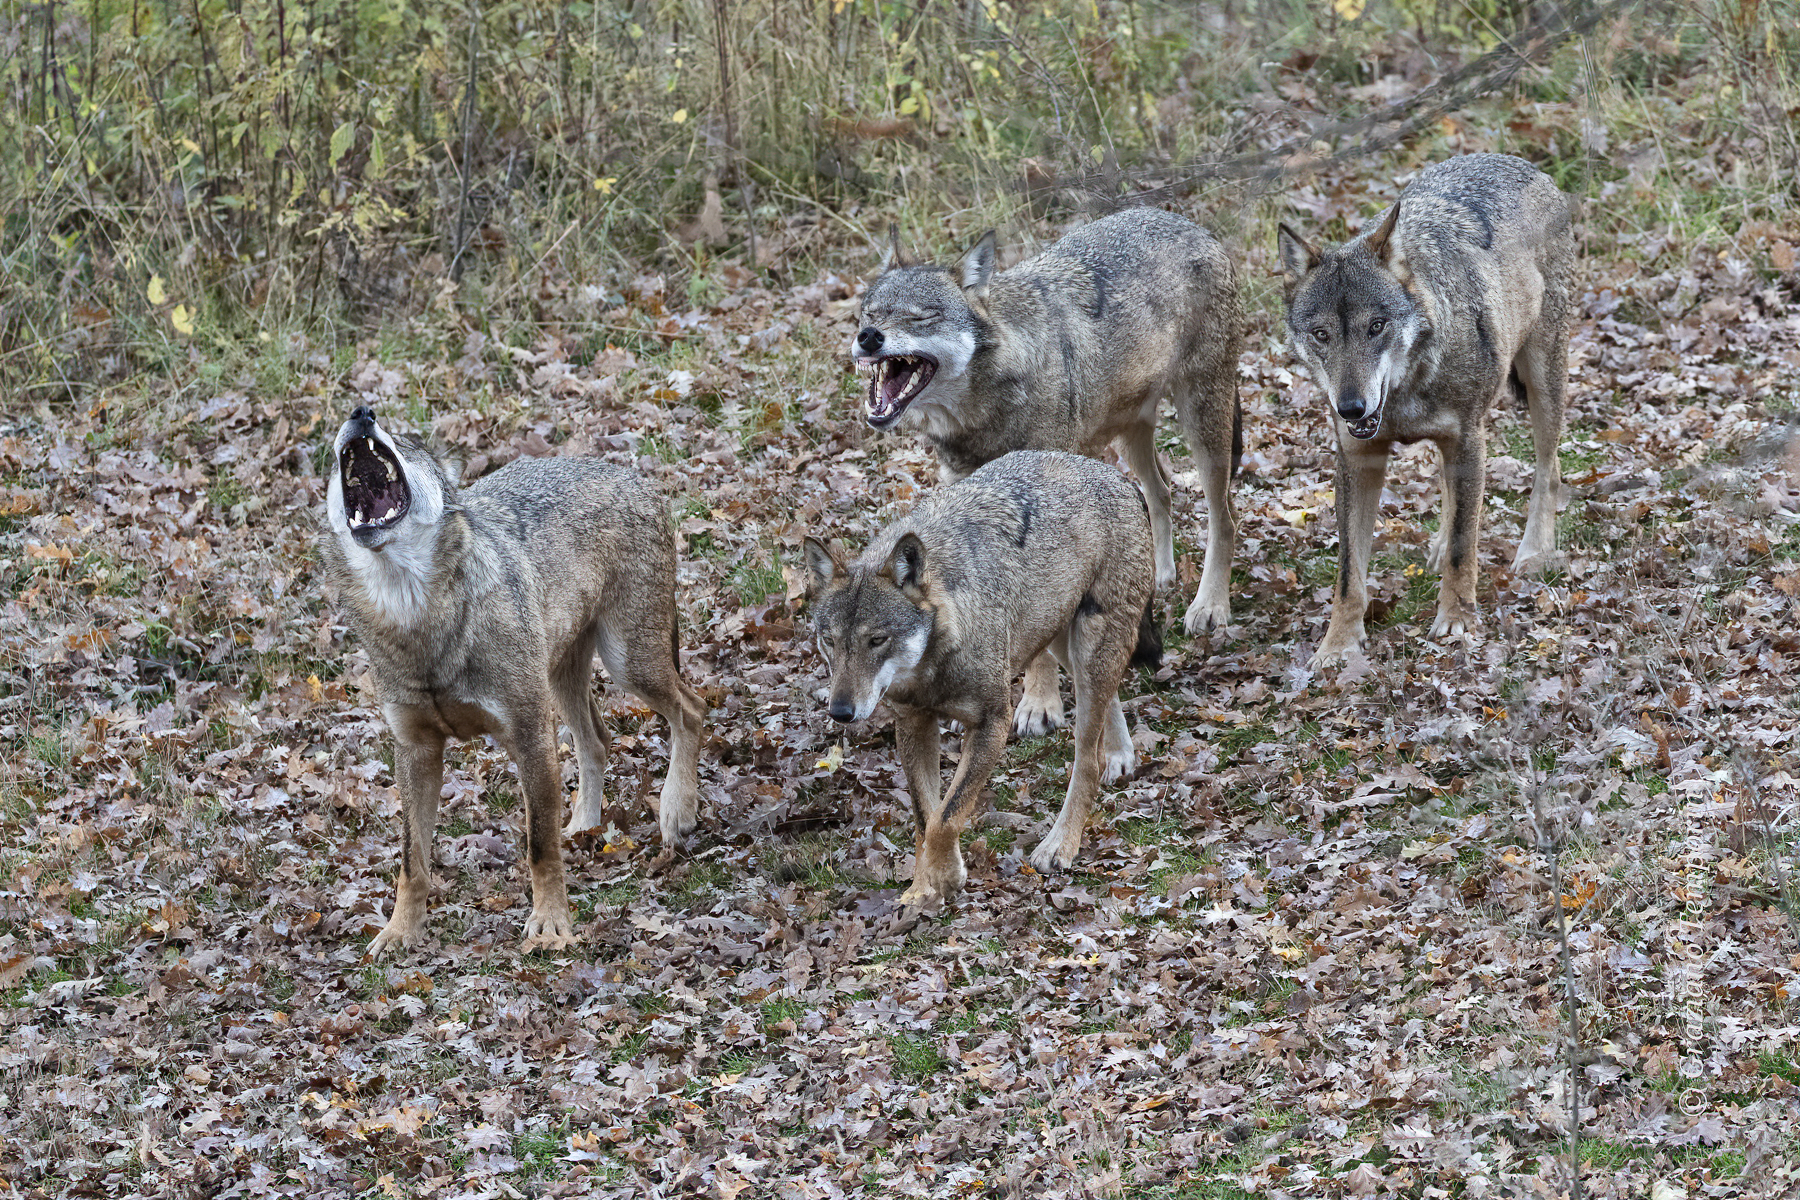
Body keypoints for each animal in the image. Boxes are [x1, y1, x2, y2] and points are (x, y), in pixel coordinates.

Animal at [320, 407, 705, 957]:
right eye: (330, 460)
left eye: (409, 444)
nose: (361, 414)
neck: (417, 616)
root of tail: (638, 478)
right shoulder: (415, 751)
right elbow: (412, 862)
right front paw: (399, 932)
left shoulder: (529, 735)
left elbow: (538, 845)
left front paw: (550, 924)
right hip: (564, 681)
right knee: (598, 740)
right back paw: (584, 827)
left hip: (629, 666)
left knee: (691, 710)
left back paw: (676, 812)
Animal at [801, 451, 1158, 906]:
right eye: (828, 641)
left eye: (876, 640)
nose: (841, 712)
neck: (932, 665)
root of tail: (1117, 475)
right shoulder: (912, 722)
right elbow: (925, 816)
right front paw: (921, 889)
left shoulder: (993, 723)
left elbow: (947, 816)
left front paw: (945, 879)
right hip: (1057, 639)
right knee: (1105, 700)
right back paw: (1119, 754)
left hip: (1088, 645)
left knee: (1087, 757)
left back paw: (1061, 843)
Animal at [852, 207, 1240, 734]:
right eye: (871, 313)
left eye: (920, 316)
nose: (868, 338)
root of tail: (1185, 221)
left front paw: (1038, 704)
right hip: (1130, 433)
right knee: (1160, 493)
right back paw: (1159, 576)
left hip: (1204, 422)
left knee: (1224, 516)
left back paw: (1210, 606)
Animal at [1277, 153, 1575, 667]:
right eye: (1321, 335)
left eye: (1376, 326)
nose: (1351, 408)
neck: (1405, 395)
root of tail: (1520, 162)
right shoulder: (1357, 460)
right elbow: (1348, 573)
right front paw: (1338, 646)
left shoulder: (1468, 438)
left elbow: (1463, 548)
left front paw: (1457, 621)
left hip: (1542, 381)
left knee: (1548, 469)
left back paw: (1534, 552)